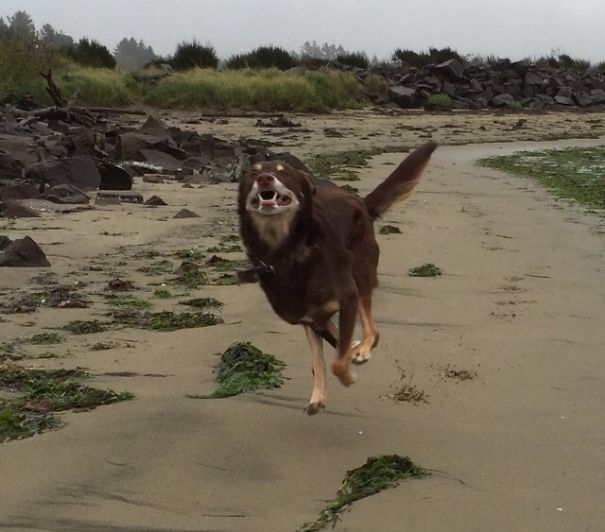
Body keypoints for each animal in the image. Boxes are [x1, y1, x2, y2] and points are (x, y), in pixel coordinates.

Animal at [238, 143, 436, 414]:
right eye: (253, 173)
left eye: (284, 172)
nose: (264, 178)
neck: (289, 252)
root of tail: (359, 201)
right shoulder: (308, 318)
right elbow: (321, 360)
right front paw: (318, 396)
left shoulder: (347, 299)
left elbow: (337, 361)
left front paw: (349, 374)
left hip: (360, 274)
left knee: (372, 329)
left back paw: (362, 349)